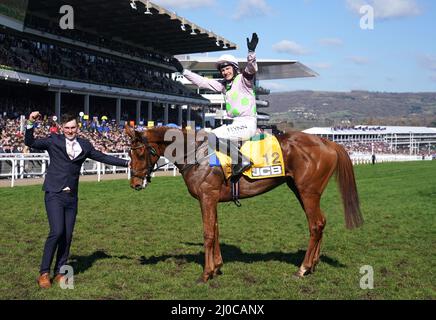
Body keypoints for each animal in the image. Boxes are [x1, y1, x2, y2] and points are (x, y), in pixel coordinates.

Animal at [124, 125, 362, 282]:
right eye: (128, 152)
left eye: (140, 152)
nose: (135, 183)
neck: (196, 154)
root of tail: (328, 142)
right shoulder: (213, 199)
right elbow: (216, 231)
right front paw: (217, 267)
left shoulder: (207, 197)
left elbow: (208, 233)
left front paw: (206, 274)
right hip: (300, 190)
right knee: (321, 222)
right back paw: (313, 265)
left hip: (308, 192)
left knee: (315, 225)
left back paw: (303, 268)